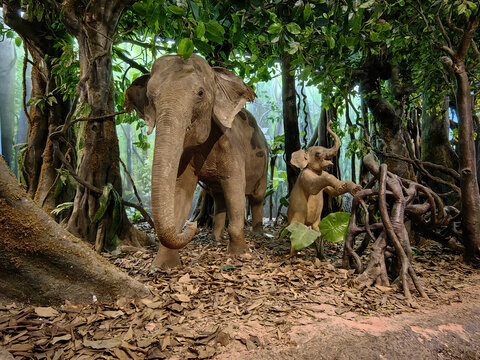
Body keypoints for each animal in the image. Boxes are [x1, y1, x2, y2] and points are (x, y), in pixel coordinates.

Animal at [124, 53, 270, 268]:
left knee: (257, 196)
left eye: (200, 93)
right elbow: (180, 190)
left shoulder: (231, 147)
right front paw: (162, 266)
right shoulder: (187, 155)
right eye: (150, 97)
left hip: (265, 163)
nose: (192, 224)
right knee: (219, 198)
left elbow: (235, 186)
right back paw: (218, 239)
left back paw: (257, 234)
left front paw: (239, 254)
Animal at [284, 122, 360, 255]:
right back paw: (293, 256)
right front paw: (341, 185)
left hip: (317, 222)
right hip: (296, 218)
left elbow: (334, 192)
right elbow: (313, 187)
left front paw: (354, 188)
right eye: (318, 154)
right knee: (296, 232)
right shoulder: (304, 176)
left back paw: (321, 255)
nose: (330, 123)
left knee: (318, 232)